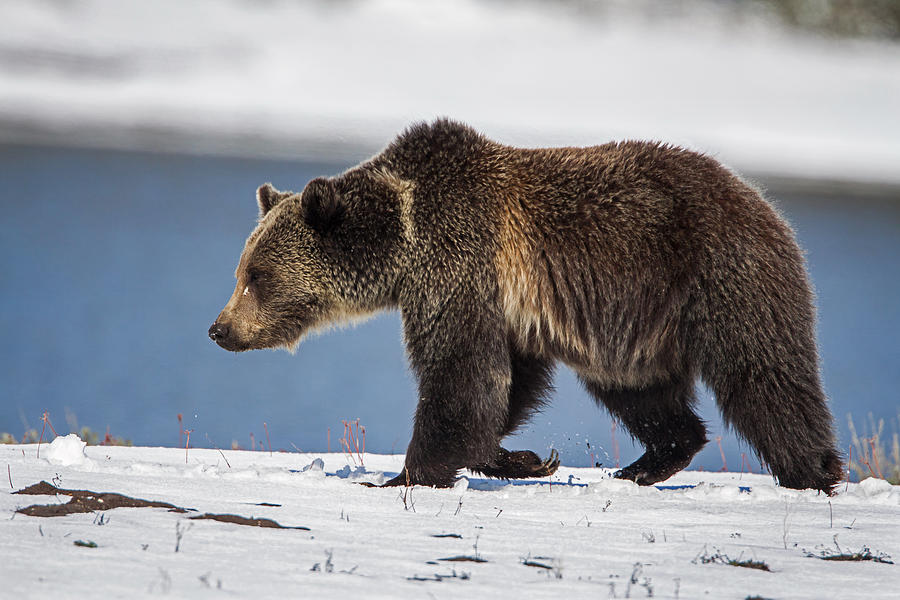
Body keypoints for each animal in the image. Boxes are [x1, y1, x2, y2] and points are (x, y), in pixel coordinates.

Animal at [211, 116, 844, 492]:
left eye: (256, 276)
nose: (219, 329)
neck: (403, 237)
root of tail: (763, 202)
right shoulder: (501, 306)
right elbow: (505, 384)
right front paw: (526, 458)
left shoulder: (459, 267)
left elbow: (460, 379)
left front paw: (405, 477)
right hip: (635, 332)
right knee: (641, 392)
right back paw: (644, 464)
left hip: (720, 277)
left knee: (764, 377)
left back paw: (812, 471)